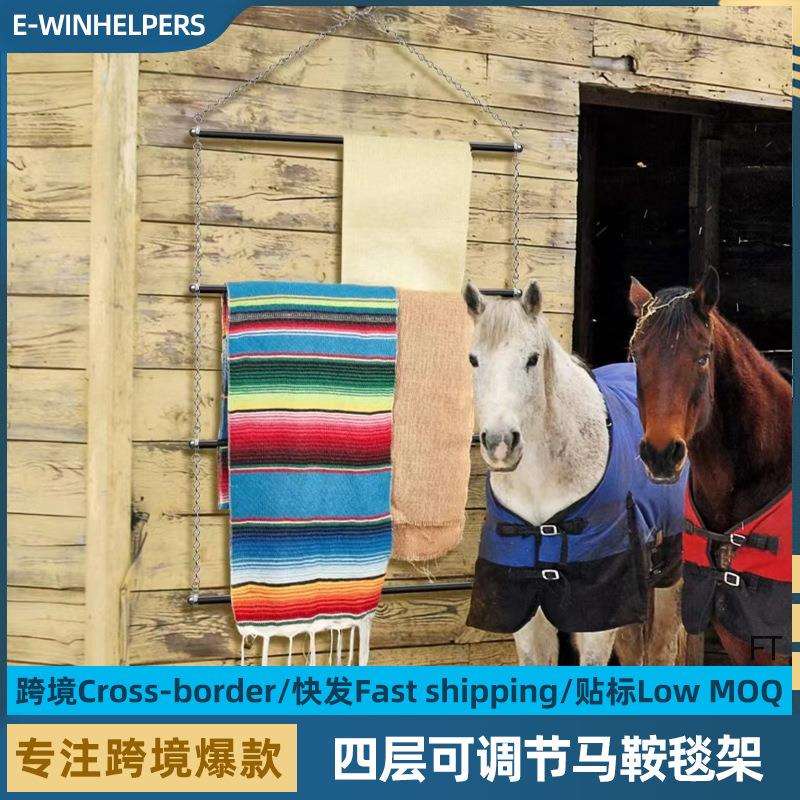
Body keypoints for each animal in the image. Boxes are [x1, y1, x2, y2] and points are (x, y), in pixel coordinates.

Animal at [463, 281, 686, 666]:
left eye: (532, 359)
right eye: (474, 360)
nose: (501, 443)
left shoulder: (599, 610)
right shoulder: (528, 609)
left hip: (668, 574)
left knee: (661, 648)